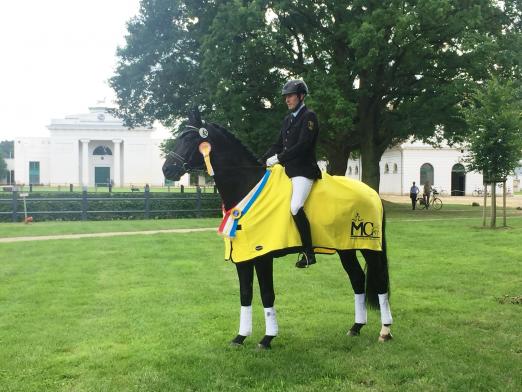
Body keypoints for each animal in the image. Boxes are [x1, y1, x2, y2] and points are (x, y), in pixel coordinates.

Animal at [161, 112, 390, 348]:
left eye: (190, 138)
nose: (167, 169)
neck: (248, 186)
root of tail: (372, 193)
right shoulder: (243, 256)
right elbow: (245, 294)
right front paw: (240, 337)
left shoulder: (262, 255)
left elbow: (266, 293)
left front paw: (267, 338)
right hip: (346, 248)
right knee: (357, 279)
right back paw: (356, 327)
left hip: (370, 248)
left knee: (380, 281)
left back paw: (385, 331)